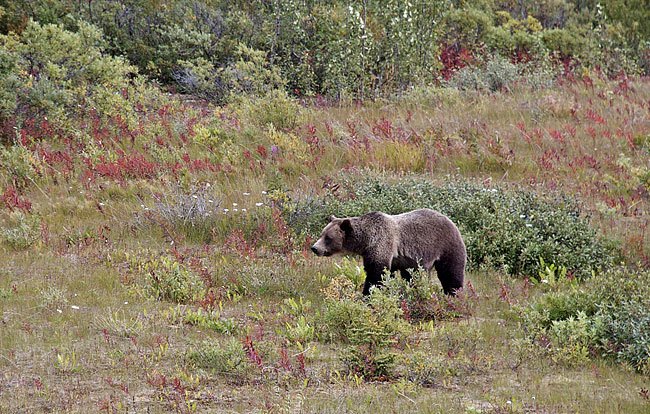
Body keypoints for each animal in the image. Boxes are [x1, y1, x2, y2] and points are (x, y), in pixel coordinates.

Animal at [311, 209, 466, 296]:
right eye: (322, 234)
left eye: (328, 238)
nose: (315, 248)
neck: (365, 240)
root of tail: (450, 220)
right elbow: (386, 274)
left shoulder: (382, 243)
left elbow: (376, 274)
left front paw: (367, 295)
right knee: (411, 276)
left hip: (446, 245)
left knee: (451, 272)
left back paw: (453, 293)